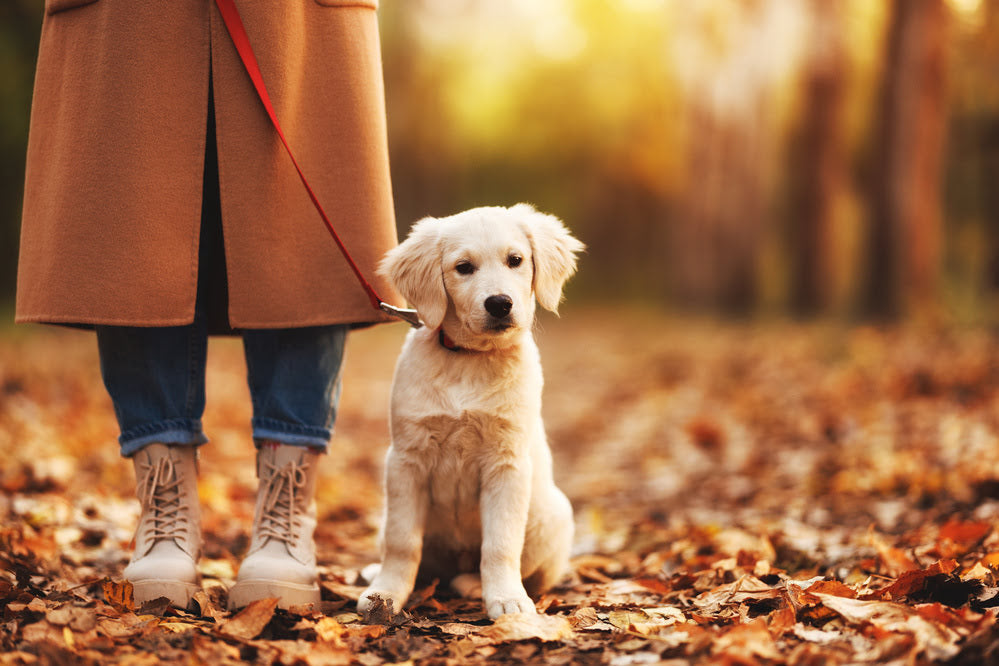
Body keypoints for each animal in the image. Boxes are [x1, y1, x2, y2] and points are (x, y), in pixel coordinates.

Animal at [358, 204, 584, 616]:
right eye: (463, 267)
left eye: (515, 260)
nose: (499, 303)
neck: (470, 359)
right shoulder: (405, 460)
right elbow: (402, 542)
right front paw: (386, 594)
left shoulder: (507, 463)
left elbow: (500, 545)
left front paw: (508, 600)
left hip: (554, 514)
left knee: (524, 570)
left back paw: (474, 585)